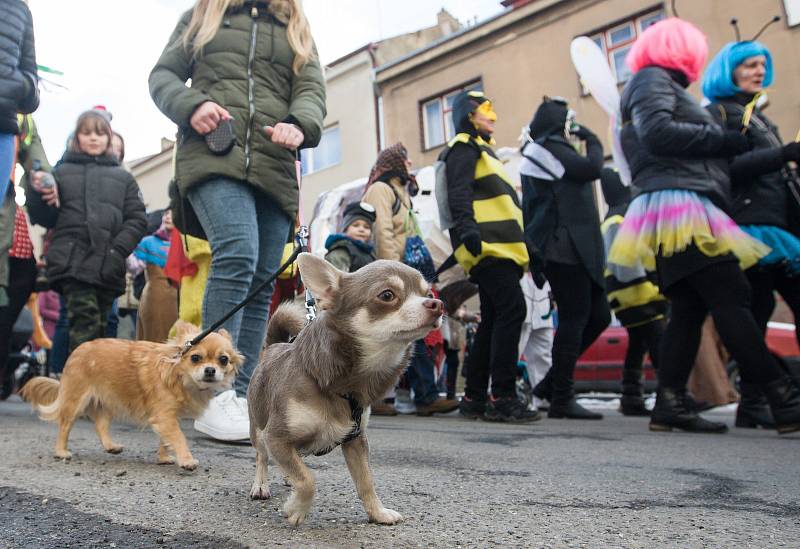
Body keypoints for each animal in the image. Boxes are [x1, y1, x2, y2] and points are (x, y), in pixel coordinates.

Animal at [21, 322, 241, 470]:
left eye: (223, 360)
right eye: (195, 358)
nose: (210, 370)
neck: (179, 376)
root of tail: (77, 350)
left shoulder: (167, 418)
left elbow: (165, 439)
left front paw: (164, 458)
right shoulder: (165, 416)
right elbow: (178, 437)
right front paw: (186, 460)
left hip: (107, 401)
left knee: (100, 425)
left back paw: (111, 446)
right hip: (76, 400)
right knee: (65, 426)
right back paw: (61, 451)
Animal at [248, 255, 444, 524]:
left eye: (428, 292)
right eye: (387, 295)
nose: (437, 303)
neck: (342, 386)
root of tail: (273, 347)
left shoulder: (356, 441)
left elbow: (366, 481)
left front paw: (378, 513)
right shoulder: (276, 437)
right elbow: (308, 481)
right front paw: (297, 508)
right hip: (258, 428)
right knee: (262, 456)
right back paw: (260, 485)